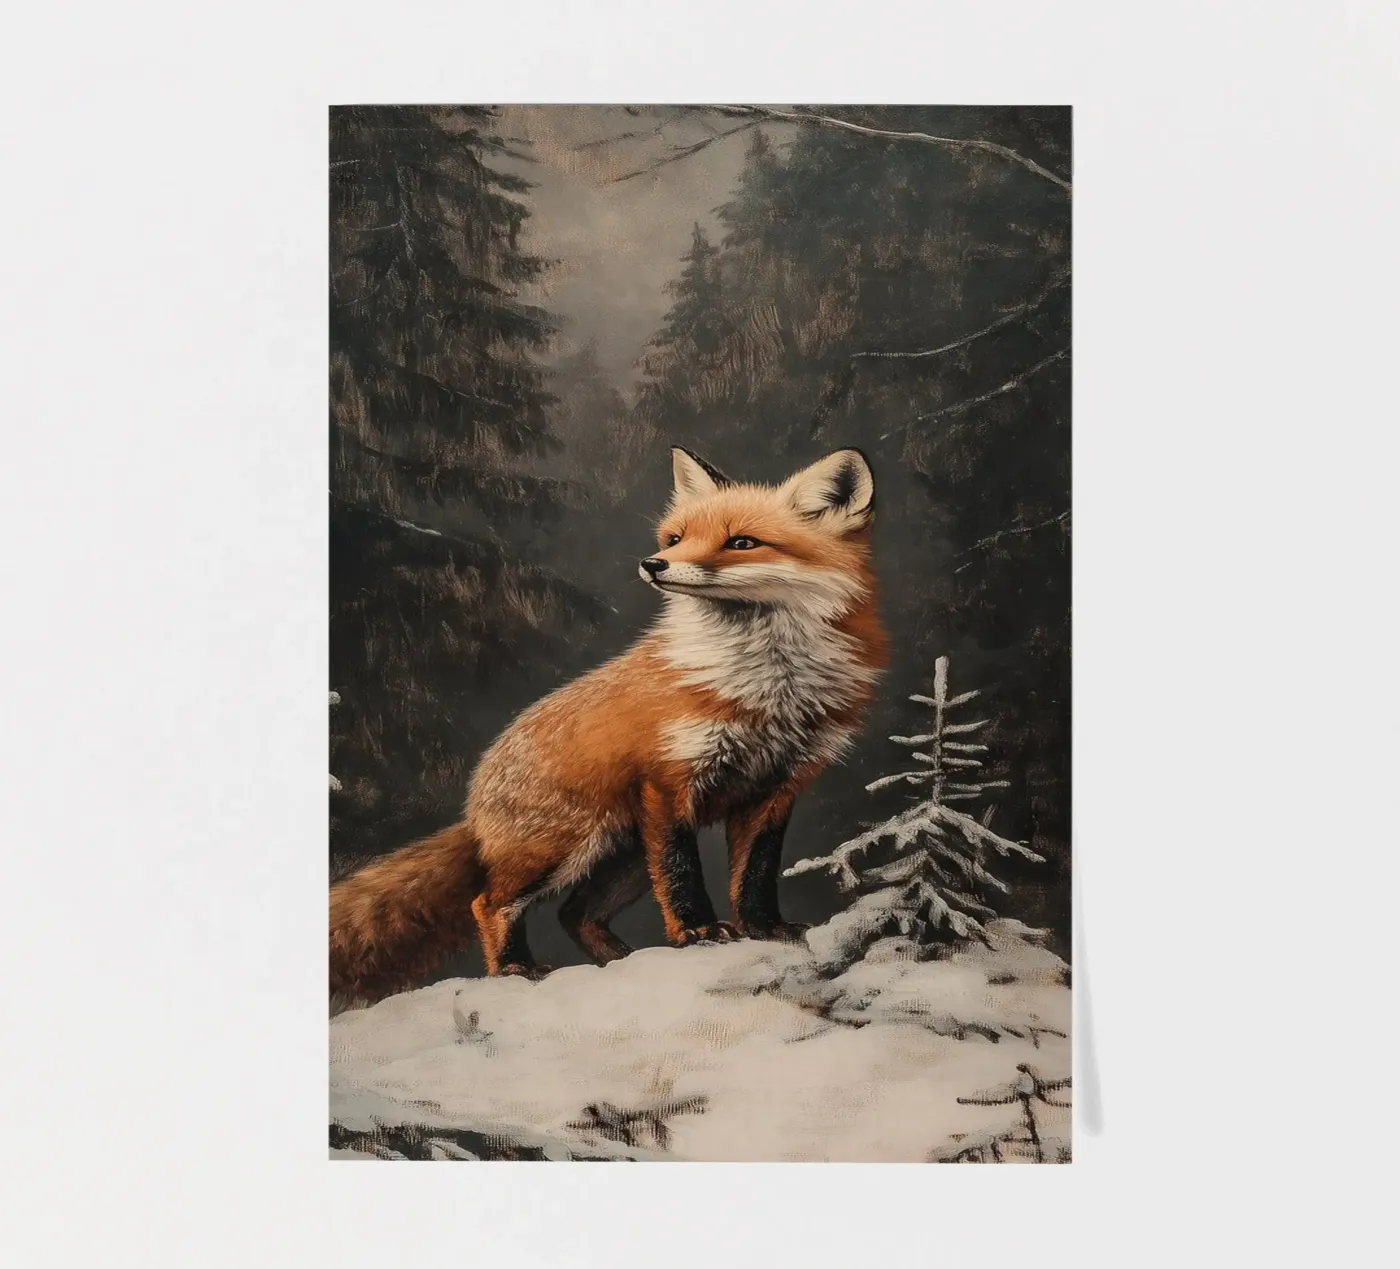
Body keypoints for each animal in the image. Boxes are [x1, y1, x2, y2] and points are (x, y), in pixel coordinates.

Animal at [329, 446, 888, 1006]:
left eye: (742, 543)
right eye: (676, 538)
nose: (654, 563)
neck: (768, 688)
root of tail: (475, 797)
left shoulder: (776, 789)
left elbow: (756, 874)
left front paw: (765, 928)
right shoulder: (669, 782)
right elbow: (683, 875)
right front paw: (698, 931)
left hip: (626, 860)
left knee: (573, 914)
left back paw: (620, 964)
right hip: (564, 850)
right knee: (489, 903)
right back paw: (514, 968)